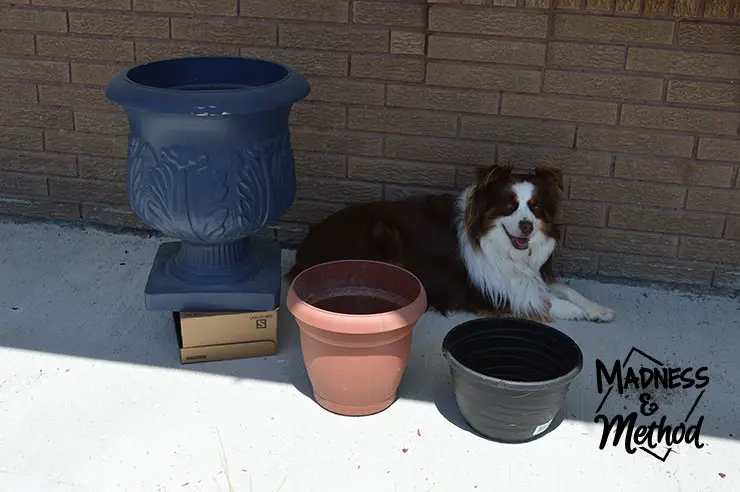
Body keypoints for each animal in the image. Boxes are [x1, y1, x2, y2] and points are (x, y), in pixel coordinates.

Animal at [286, 163, 616, 322]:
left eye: (534, 207)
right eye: (509, 206)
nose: (527, 227)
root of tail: (305, 247)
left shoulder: (532, 274)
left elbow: (565, 289)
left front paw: (598, 309)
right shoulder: (494, 292)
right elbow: (544, 301)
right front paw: (579, 312)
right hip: (380, 232)